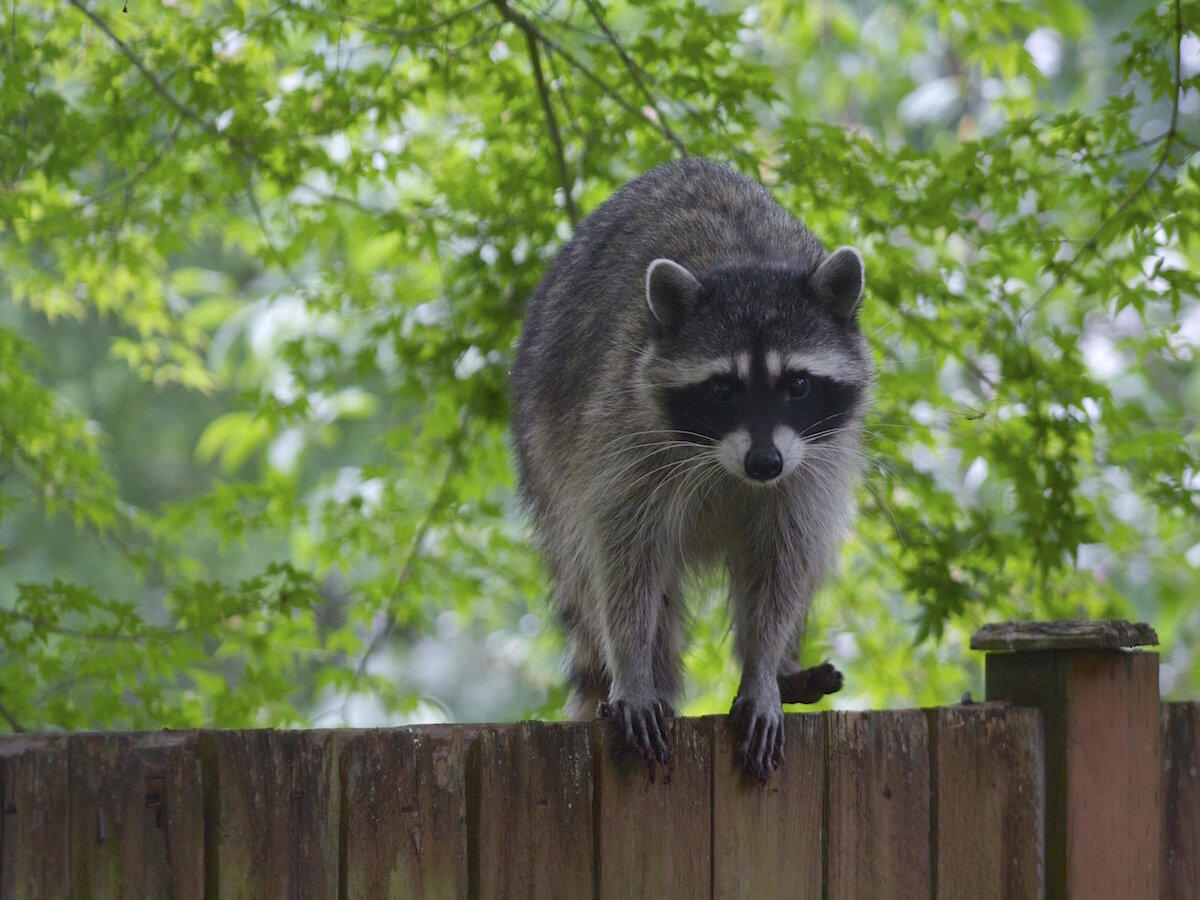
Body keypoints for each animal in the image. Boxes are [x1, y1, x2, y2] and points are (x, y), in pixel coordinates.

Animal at [508, 160, 873, 782]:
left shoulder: (813, 463)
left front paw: (761, 669)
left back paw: (785, 672)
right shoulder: (620, 433)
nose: (764, 463)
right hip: (546, 449)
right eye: (723, 389)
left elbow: (783, 561)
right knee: (591, 558)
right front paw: (633, 667)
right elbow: (624, 556)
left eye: (798, 384)